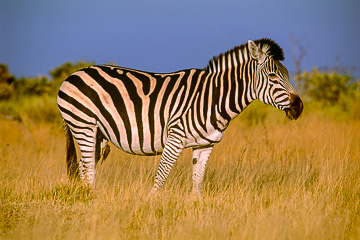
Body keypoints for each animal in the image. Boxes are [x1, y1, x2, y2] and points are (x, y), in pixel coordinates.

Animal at [57, 38, 304, 195]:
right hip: (83, 125)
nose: (299, 107)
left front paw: (196, 212)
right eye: (272, 76)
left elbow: (198, 181)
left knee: (84, 168)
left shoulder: (205, 144)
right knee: (89, 170)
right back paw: (90, 202)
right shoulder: (175, 137)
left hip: (97, 134)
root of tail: (72, 75)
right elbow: (161, 176)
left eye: (287, 74)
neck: (214, 98)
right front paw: (149, 206)